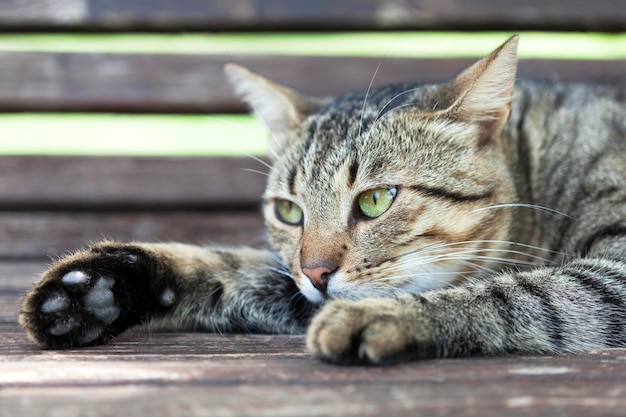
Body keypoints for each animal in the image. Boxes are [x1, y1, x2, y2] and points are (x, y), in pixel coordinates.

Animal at [17, 37, 624, 366]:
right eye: (289, 211)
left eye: (376, 200)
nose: (316, 272)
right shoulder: (292, 285)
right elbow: (231, 269)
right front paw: (99, 288)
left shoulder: (612, 275)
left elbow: (519, 293)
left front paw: (382, 316)